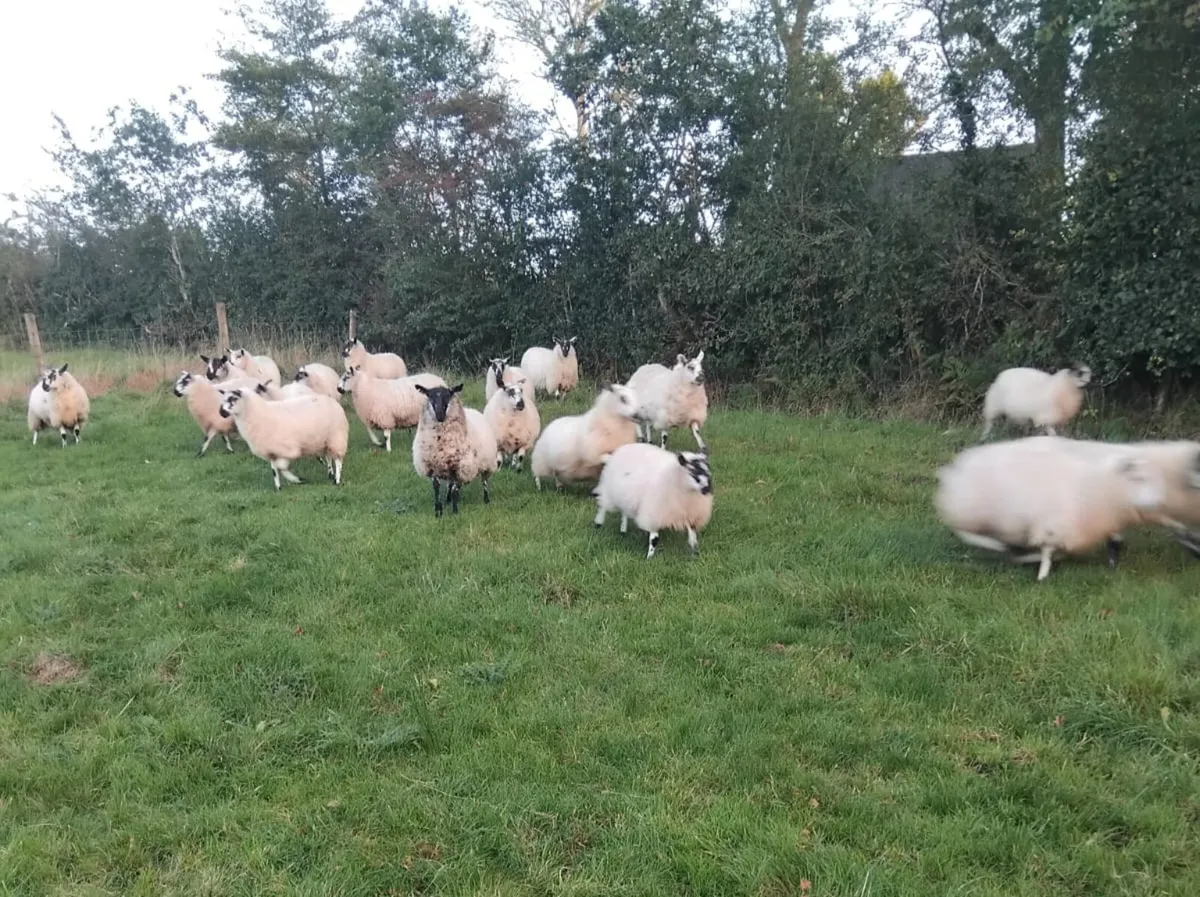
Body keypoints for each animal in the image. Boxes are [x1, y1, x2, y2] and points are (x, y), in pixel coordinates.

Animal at [218, 388, 349, 490]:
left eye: (233, 399)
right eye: (224, 398)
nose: (221, 412)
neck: (257, 414)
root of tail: (332, 400)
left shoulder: (287, 450)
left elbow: (281, 467)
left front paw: (297, 479)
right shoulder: (271, 452)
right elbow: (274, 470)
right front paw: (279, 487)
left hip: (337, 437)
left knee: (338, 460)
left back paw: (337, 480)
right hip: (325, 441)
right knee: (328, 456)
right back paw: (330, 474)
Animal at [411, 383, 494, 516]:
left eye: (448, 395)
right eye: (429, 396)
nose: (440, 415)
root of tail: (472, 409)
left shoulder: (459, 466)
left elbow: (455, 488)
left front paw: (455, 511)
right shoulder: (432, 464)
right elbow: (437, 487)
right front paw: (438, 510)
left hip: (486, 463)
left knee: (484, 481)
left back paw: (486, 499)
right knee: (451, 484)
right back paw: (448, 499)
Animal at [934, 436, 1168, 581]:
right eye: (1138, 477)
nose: (1155, 502)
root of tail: (958, 466)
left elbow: (1057, 552)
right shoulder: (1053, 525)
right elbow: (1048, 552)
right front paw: (1041, 574)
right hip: (970, 512)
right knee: (966, 533)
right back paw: (999, 546)